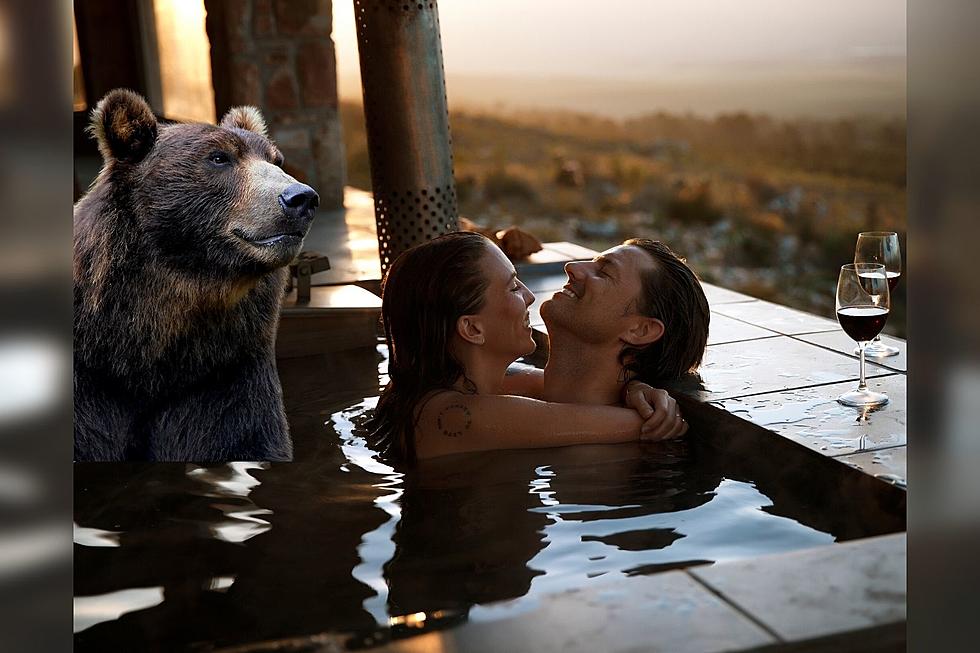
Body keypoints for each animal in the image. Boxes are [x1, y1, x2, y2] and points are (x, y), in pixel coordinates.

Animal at [74, 89, 318, 460]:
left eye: (276, 160)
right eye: (219, 157)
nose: (300, 198)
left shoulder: (222, 377)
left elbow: (240, 436)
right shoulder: (91, 382)